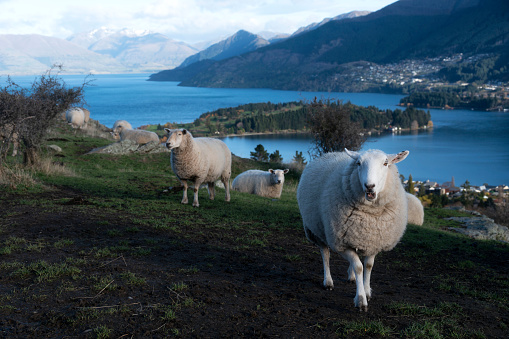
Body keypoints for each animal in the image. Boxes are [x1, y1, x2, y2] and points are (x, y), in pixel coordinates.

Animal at [298, 147, 408, 312]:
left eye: (385, 163)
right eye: (358, 163)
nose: (369, 186)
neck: (370, 216)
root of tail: (330, 153)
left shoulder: (374, 241)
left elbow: (368, 266)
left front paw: (367, 290)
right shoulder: (341, 243)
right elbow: (359, 267)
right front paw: (361, 300)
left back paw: (351, 277)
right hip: (318, 229)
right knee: (325, 254)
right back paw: (328, 281)